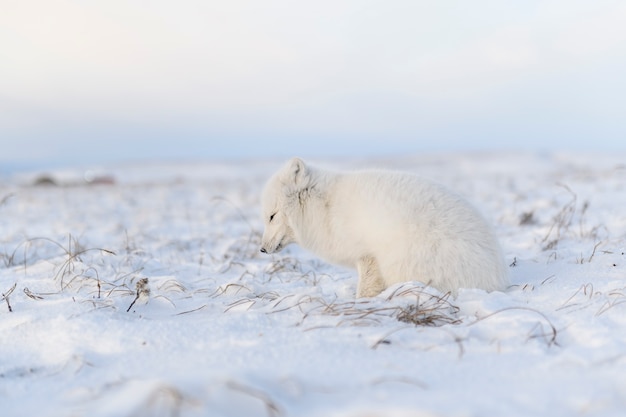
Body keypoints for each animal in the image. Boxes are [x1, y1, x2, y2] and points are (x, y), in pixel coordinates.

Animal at [258, 158, 508, 298]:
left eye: (271, 216)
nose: (261, 249)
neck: (325, 208)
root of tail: (496, 279)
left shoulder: (367, 256)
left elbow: (365, 288)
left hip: (405, 261)